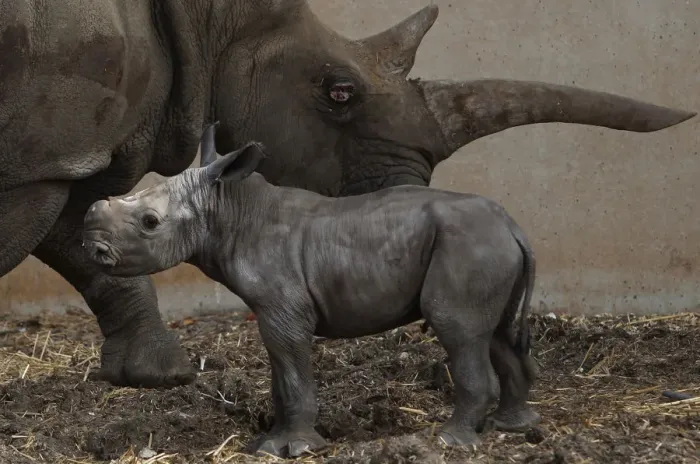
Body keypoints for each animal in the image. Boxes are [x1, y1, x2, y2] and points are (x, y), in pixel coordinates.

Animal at [0, 0, 694, 389]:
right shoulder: (43, 153)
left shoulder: (48, 153)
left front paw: (158, 375)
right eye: (340, 92)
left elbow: (84, 237)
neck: (206, 21)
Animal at [81, 122, 539, 457]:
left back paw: (450, 440)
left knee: (458, 328)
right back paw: (510, 427)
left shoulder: (284, 307)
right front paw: (265, 444)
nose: (93, 247)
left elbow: (291, 373)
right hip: (485, 247)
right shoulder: (273, 308)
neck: (228, 206)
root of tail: (513, 227)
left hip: (468, 247)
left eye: (150, 222)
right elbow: (280, 374)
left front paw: (294, 449)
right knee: (494, 332)